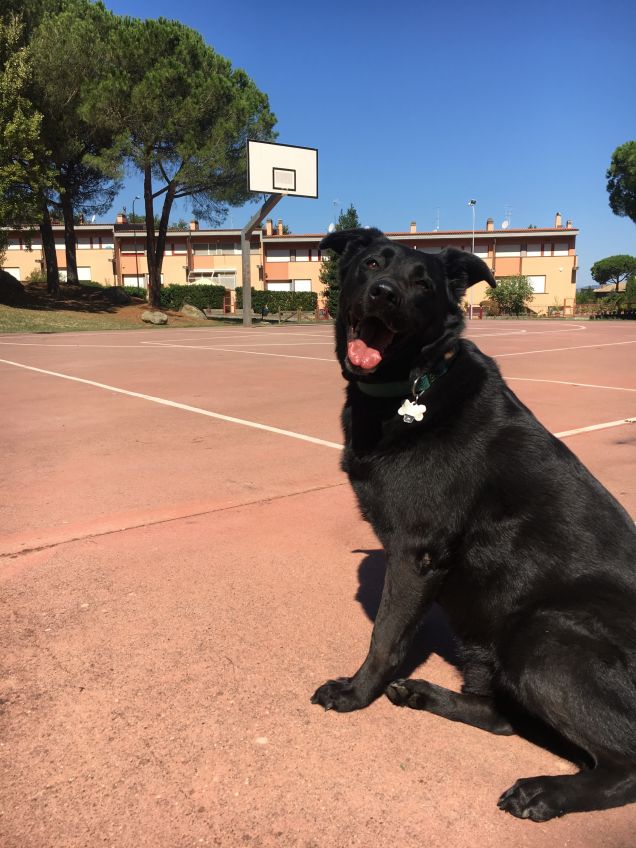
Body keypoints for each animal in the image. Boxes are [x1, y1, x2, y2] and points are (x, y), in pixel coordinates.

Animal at [312, 227, 636, 820]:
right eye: (371, 265)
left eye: (423, 284)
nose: (385, 294)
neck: (412, 386)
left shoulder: (416, 553)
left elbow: (385, 635)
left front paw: (355, 693)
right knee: (505, 716)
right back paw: (426, 695)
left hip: (541, 635)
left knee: (626, 766)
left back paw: (546, 791)